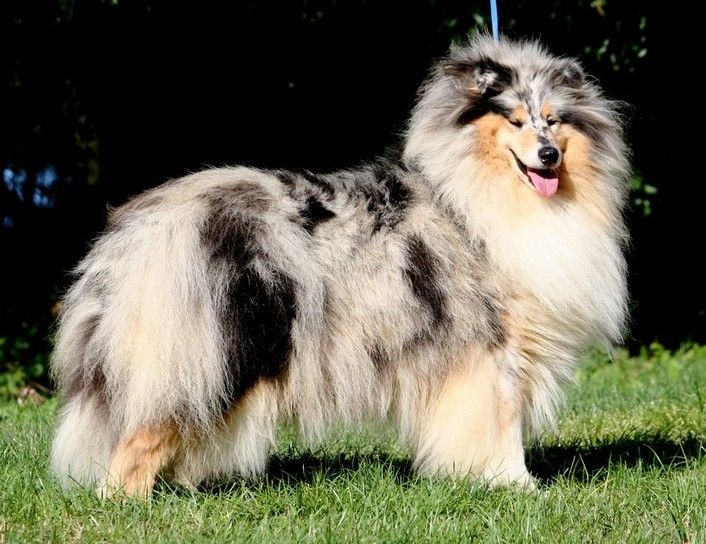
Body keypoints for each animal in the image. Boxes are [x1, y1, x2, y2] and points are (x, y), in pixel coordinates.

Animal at [50, 35, 629, 497]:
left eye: (553, 120)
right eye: (514, 121)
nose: (549, 154)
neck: (479, 195)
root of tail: (141, 228)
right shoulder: (492, 350)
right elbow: (500, 424)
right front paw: (517, 485)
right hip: (213, 352)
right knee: (139, 440)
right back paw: (127, 506)